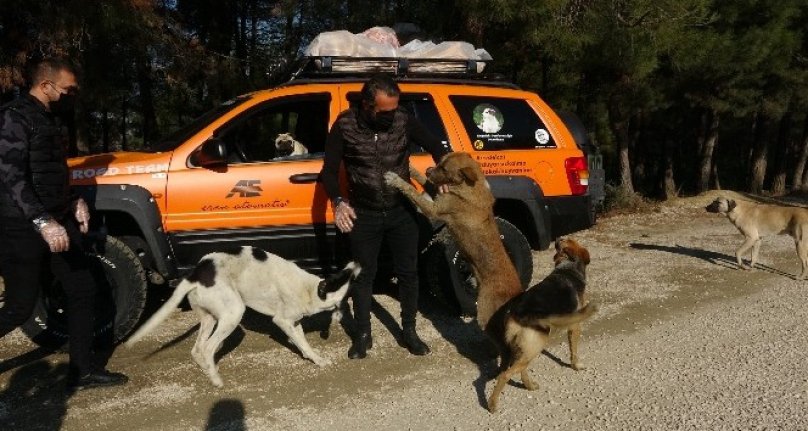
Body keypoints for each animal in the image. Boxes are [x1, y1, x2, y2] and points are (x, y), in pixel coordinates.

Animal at [126, 246, 360, 388]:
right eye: (344, 277)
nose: (356, 262)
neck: (310, 289)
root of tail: (196, 274)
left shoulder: (294, 322)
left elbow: (303, 342)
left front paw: (313, 358)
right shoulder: (283, 321)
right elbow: (304, 343)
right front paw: (316, 359)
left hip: (210, 317)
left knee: (197, 350)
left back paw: (208, 370)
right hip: (234, 312)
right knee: (208, 348)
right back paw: (216, 380)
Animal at [482, 238, 596, 414]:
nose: (557, 239)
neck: (567, 267)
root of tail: (517, 315)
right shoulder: (575, 326)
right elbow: (574, 351)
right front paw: (576, 366)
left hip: (524, 348)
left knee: (519, 369)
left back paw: (529, 385)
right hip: (536, 344)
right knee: (505, 375)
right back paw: (493, 404)